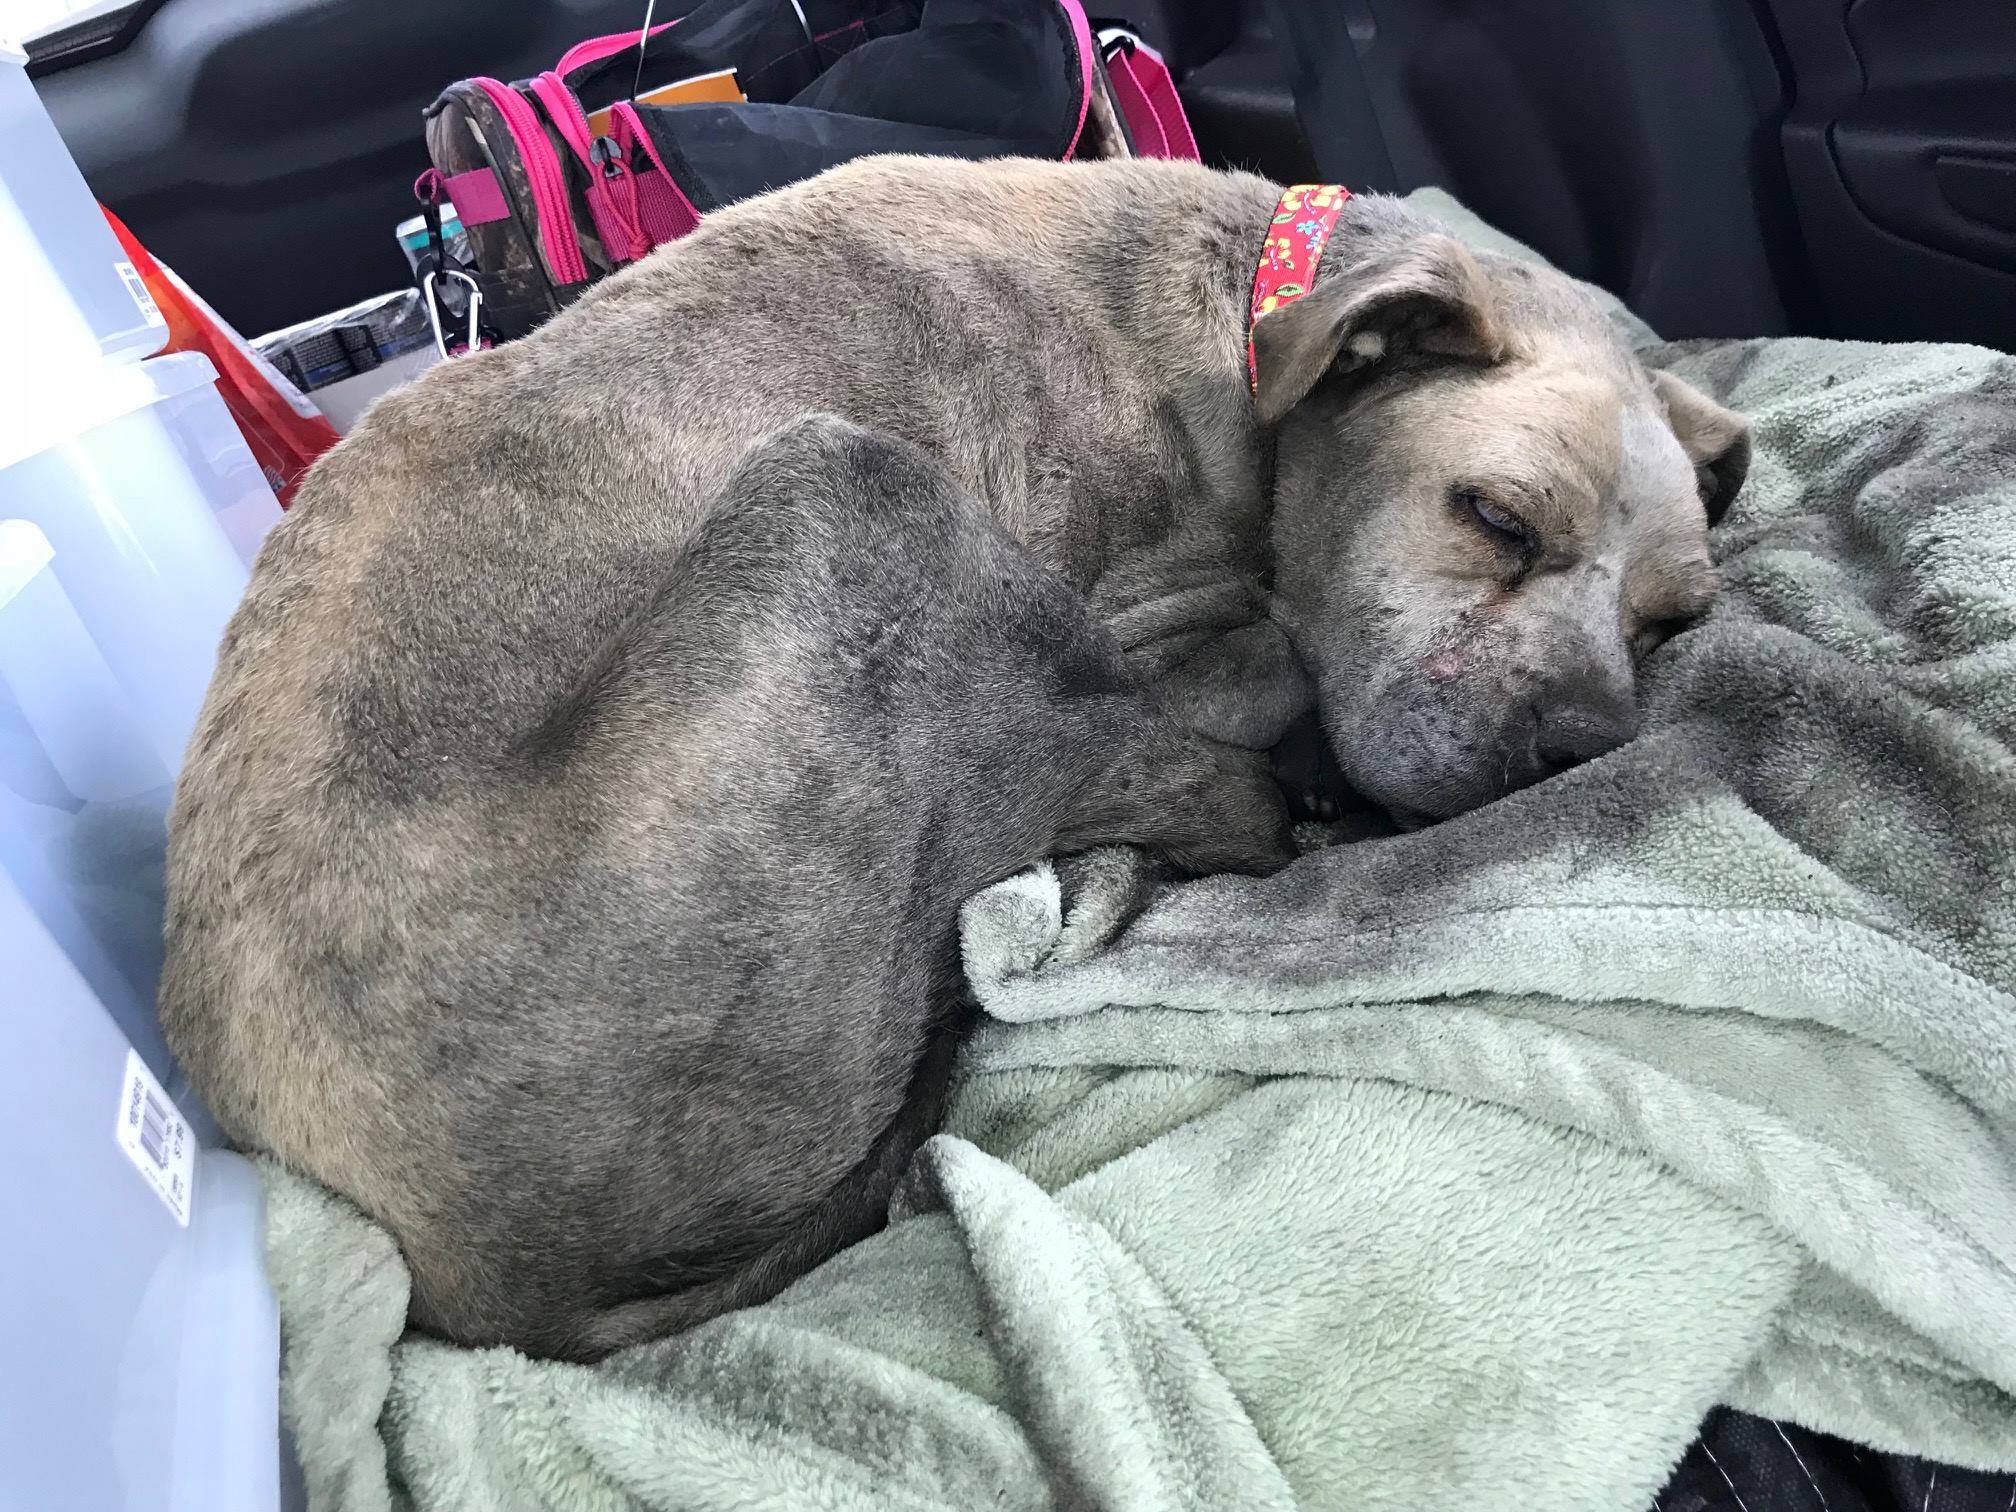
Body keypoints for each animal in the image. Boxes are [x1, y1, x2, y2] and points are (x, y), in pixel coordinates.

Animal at [165, 157, 1749, 1362]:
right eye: (1494, 518)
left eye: (1674, 620)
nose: (1580, 748)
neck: (1250, 324)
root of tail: (475, 1284)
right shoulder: (1139, 624)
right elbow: (1250, 667)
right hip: (850, 491)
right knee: (1113, 788)